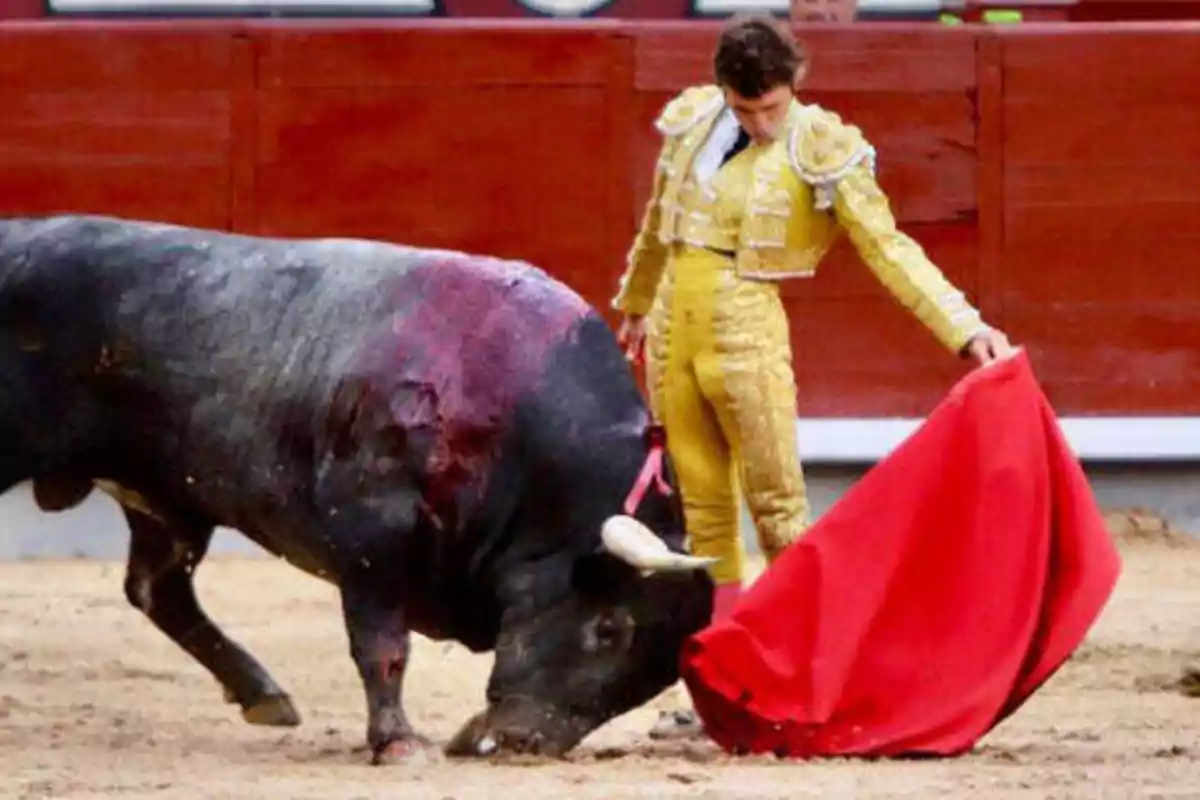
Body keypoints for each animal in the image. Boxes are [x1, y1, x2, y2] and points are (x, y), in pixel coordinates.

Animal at [0, 212, 710, 762]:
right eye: (609, 630)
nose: (523, 745)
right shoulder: (373, 535)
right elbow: (383, 646)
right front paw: (397, 742)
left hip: (164, 498)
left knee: (158, 588)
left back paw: (264, 695)